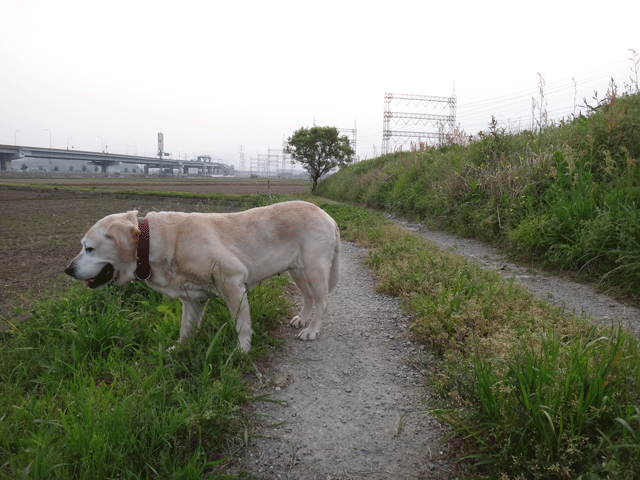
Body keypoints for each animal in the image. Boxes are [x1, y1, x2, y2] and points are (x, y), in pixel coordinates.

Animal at [66, 201, 340, 350]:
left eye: (89, 248)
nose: (67, 270)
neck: (153, 243)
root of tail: (328, 215)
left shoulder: (233, 282)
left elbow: (242, 325)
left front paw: (242, 351)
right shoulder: (192, 300)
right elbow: (186, 329)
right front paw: (179, 350)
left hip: (314, 269)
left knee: (323, 301)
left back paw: (312, 330)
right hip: (297, 270)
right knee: (308, 297)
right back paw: (302, 319)